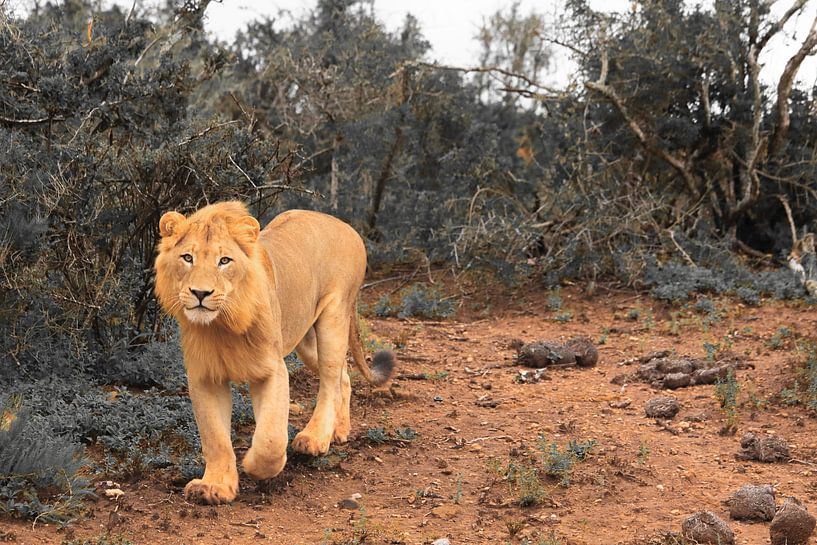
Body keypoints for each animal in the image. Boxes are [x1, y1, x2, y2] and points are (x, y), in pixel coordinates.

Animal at [154, 201, 395, 505]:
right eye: (187, 257)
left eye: (224, 261)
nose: (200, 293)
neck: (223, 326)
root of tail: (346, 226)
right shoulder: (204, 377)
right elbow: (215, 438)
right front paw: (215, 486)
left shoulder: (272, 369)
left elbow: (270, 438)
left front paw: (255, 466)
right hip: (306, 339)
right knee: (343, 378)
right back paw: (338, 431)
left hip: (333, 317)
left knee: (330, 381)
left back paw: (315, 439)